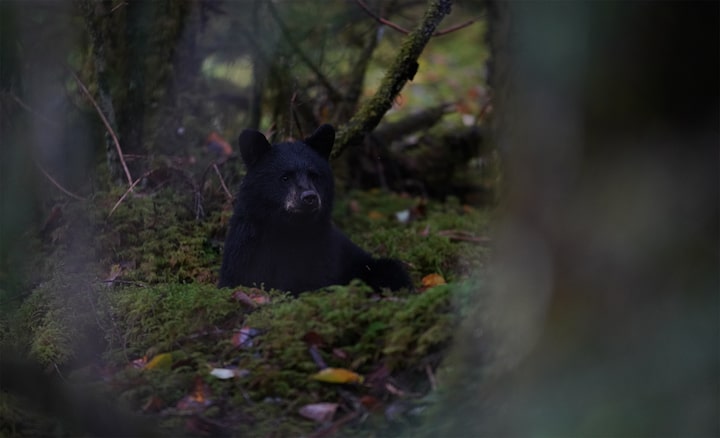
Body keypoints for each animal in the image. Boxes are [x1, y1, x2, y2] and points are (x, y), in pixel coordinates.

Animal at [218, 124, 410, 294]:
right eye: (285, 177)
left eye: (314, 175)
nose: (309, 197)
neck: (288, 231)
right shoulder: (246, 251)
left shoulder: (322, 254)